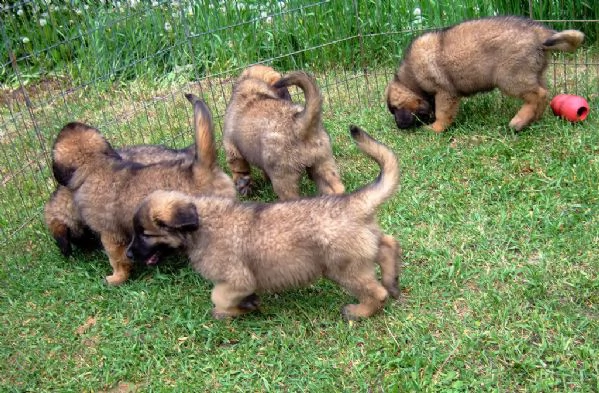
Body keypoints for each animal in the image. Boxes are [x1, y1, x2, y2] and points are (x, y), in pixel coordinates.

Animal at [223, 67, 344, 199]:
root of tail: (300, 124)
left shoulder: (232, 150)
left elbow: (238, 168)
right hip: (323, 163)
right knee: (336, 188)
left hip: (283, 179)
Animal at [384, 16, 584, 132]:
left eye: (394, 109)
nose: (398, 126)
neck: (411, 76)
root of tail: (538, 31)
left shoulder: (444, 93)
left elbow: (442, 113)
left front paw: (435, 128)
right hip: (533, 73)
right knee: (542, 93)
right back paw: (532, 119)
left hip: (510, 77)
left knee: (538, 94)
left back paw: (518, 121)